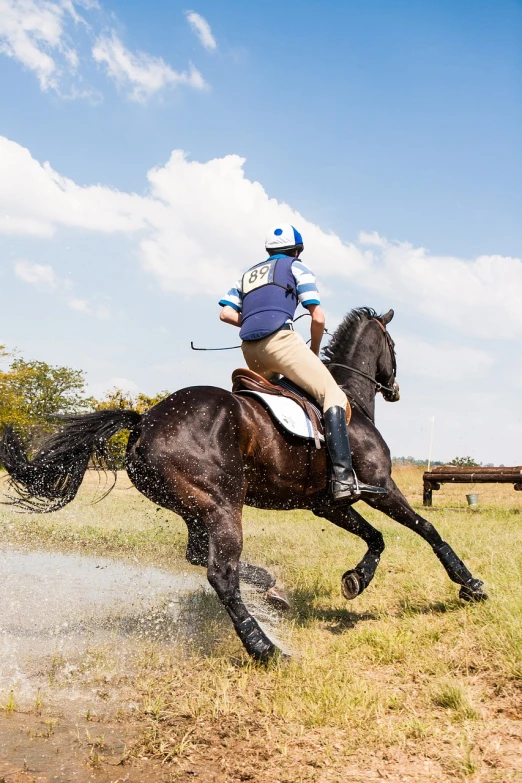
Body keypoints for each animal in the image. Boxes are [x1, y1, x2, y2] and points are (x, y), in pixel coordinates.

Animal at [1, 308, 484, 660]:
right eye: (393, 346)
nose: (395, 387)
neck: (348, 398)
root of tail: (145, 422)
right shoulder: (380, 487)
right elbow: (426, 529)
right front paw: (469, 584)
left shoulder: (328, 503)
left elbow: (376, 537)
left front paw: (356, 580)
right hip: (221, 505)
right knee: (220, 573)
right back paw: (265, 647)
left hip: (195, 506)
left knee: (200, 555)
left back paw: (271, 590)